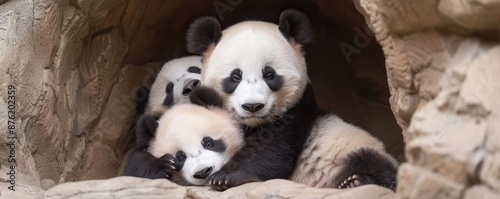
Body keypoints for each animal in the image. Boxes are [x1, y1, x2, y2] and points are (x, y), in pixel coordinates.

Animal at [185, 8, 398, 191]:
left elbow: (271, 152)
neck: (254, 123)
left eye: (269, 75)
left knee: (374, 163)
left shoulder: (296, 114)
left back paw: (356, 181)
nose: (253, 106)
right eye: (235, 76)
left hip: (355, 148)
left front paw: (225, 176)